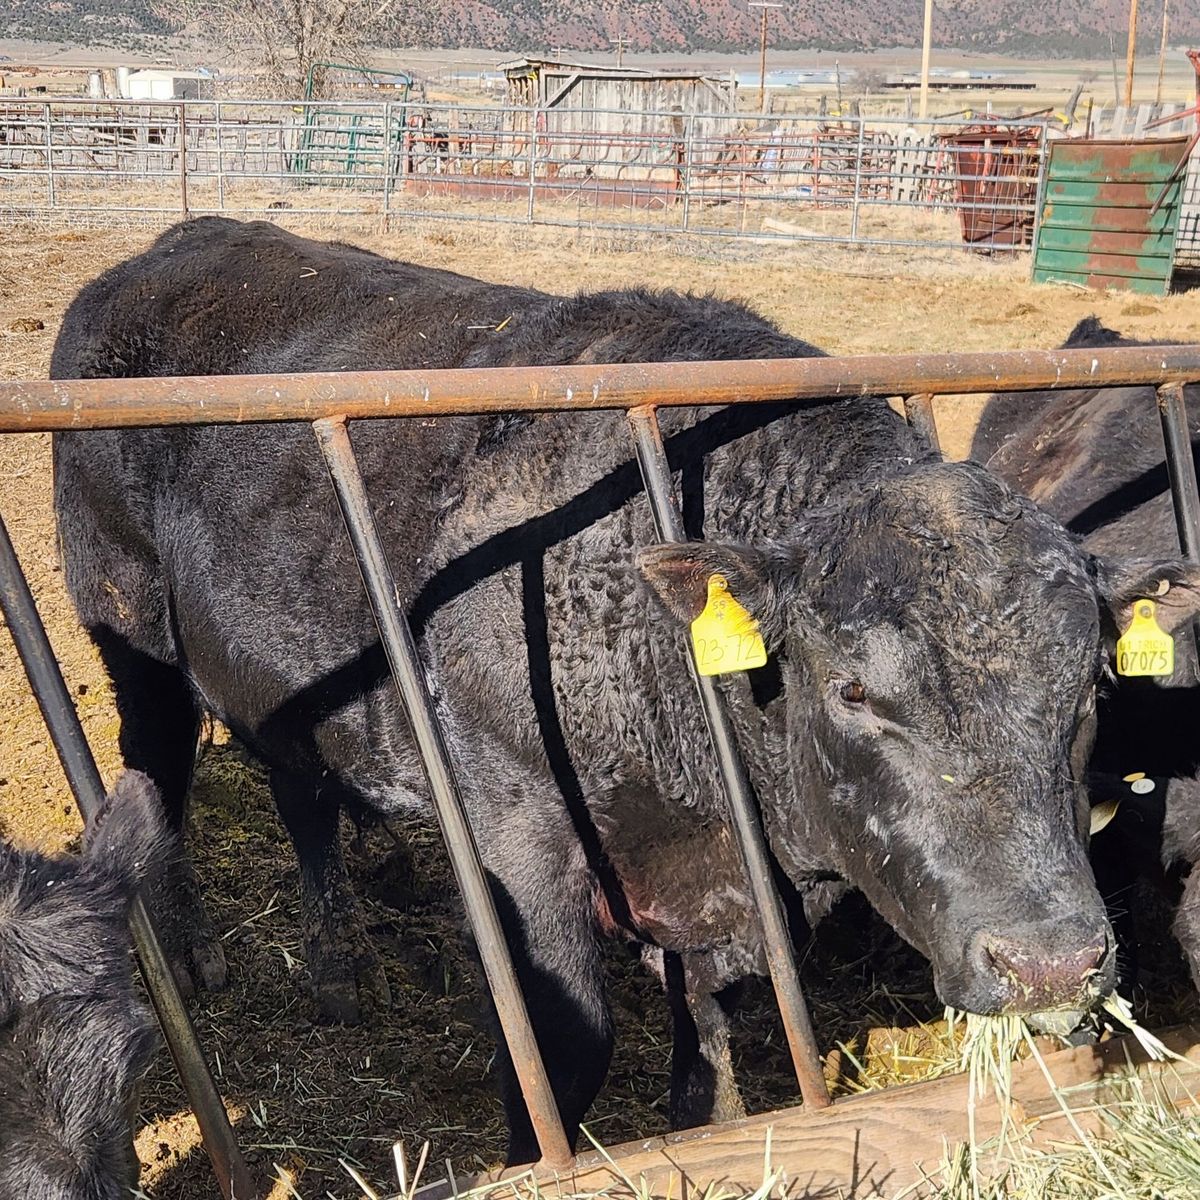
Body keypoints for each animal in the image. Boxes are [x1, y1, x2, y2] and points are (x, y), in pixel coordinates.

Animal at [50, 218, 1199, 1163]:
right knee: (155, 768)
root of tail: (170, 246)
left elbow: (709, 1061)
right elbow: (566, 1052)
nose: (1053, 964)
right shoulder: (516, 819)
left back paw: (340, 967)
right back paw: (188, 951)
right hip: (128, 626)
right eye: (853, 692)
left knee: (301, 789)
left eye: (1090, 686)